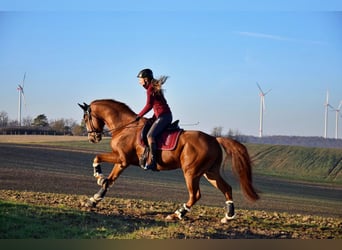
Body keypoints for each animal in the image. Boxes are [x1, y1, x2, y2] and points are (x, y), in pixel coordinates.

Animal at [78, 99, 260, 223]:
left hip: (191, 172)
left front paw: (98, 175)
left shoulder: (122, 158)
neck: (125, 127)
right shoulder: (122, 162)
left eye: (86, 118)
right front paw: (93, 201)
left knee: (195, 195)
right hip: (210, 173)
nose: (93, 138)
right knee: (226, 188)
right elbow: (109, 181)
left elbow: (97, 158)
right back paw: (228, 217)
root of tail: (214, 139)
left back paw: (177, 214)